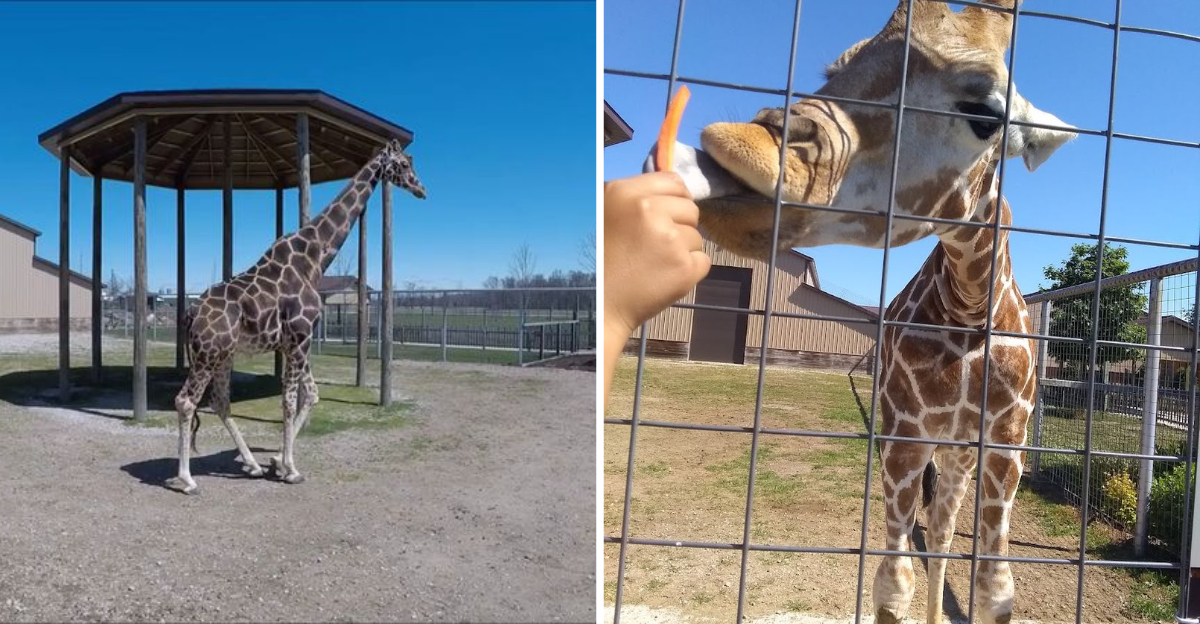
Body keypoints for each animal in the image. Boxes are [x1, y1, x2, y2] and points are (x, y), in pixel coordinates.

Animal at [172, 139, 426, 496]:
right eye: (403, 164)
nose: (421, 189)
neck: (315, 258)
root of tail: (192, 311)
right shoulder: (301, 336)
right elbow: (290, 402)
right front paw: (290, 469)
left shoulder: (293, 343)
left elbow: (311, 394)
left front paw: (278, 460)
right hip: (208, 355)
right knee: (186, 401)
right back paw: (186, 479)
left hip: (222, 355)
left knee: (220, 402)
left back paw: (251, 465)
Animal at [649, 1, 1076, 622]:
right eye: (836, 70)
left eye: (985, 112)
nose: (739, 147)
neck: (970, 309)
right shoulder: (902, 436)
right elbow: (892, 584)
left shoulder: (1005, 447)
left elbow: (996, 588)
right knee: (936, 531)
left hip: (959, 454)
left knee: (942, 529)